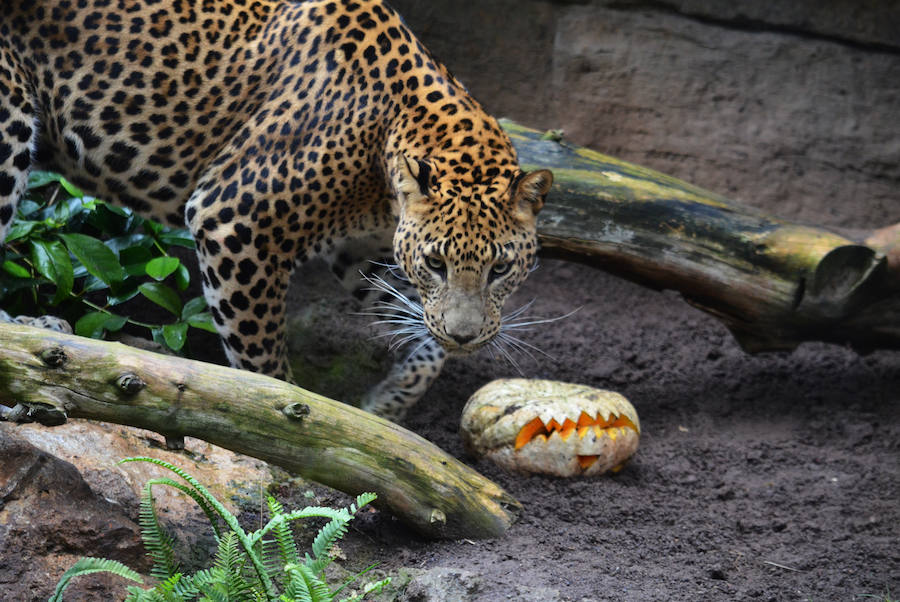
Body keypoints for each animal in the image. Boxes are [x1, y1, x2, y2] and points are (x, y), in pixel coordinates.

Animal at [0, 0, 552, 420]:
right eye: (436, 263)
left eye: (500, 268)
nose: (467, 337)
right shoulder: (235, 222)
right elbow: (265, 365)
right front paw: (288, 434)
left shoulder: (361, 257)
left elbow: (423, 324)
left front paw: (390, 401)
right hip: (9, 124)